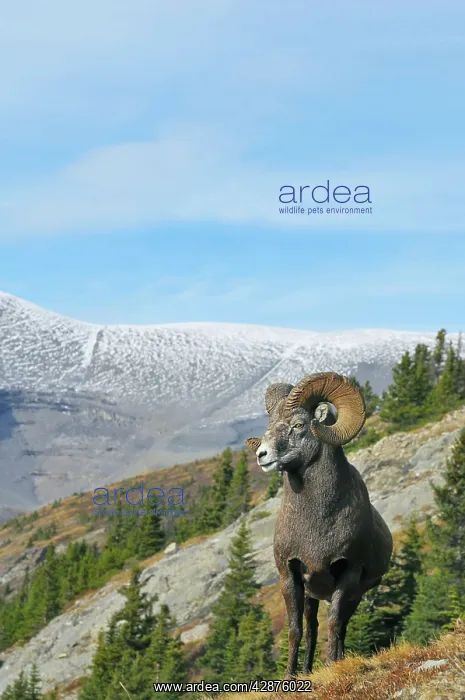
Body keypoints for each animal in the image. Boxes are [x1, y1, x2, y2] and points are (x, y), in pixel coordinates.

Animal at [245, 372, 393, 678]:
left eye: (299, 425)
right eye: (269, 426)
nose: (262, 455)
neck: (316, 523)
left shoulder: (348, 574)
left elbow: (334, 624)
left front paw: (333, 667)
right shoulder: (290, 575)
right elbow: (295, 630)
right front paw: (289, 678)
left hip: (354, 596)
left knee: (340, 627)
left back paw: (335, 661)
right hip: (312, 595)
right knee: (312, 629)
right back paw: (306, 671)